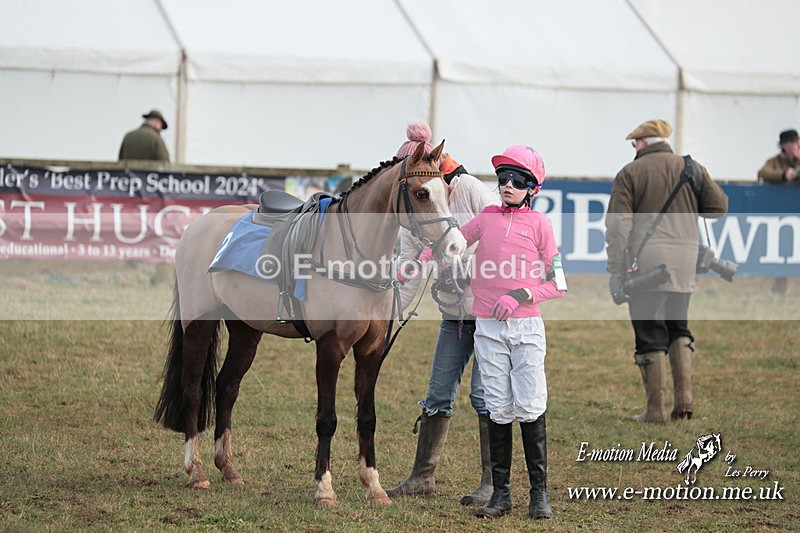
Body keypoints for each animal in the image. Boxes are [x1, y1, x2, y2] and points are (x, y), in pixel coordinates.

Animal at [153, 141, 466, 506]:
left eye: (447, 190)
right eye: (421, 193)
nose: (456, 246)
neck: (352, 257)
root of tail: (196, 228)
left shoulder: (371, 350)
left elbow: (367, 417)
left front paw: (373, 486)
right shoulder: (330, 348)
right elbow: (326, 420)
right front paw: (324, 488)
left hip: (246, 329)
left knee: (226, 387)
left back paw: (228, 469)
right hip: (198, 323)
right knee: (192, 390)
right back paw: (197, 471)